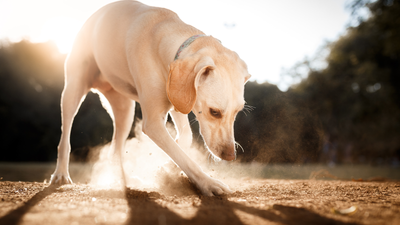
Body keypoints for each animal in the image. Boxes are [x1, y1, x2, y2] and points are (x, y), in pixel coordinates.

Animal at [50, 0, 250, 196]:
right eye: (214, 112)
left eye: (237, 112)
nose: (230, 156)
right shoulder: (153, 123)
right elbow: (183, 156)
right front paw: (208, 183)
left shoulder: (178, 101)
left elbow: (184, 139)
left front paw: (166, 168)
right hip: (72, 91)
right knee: (65, 138)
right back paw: (61, 175)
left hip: (125, 111)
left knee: (115, 150)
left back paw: (122, 181)